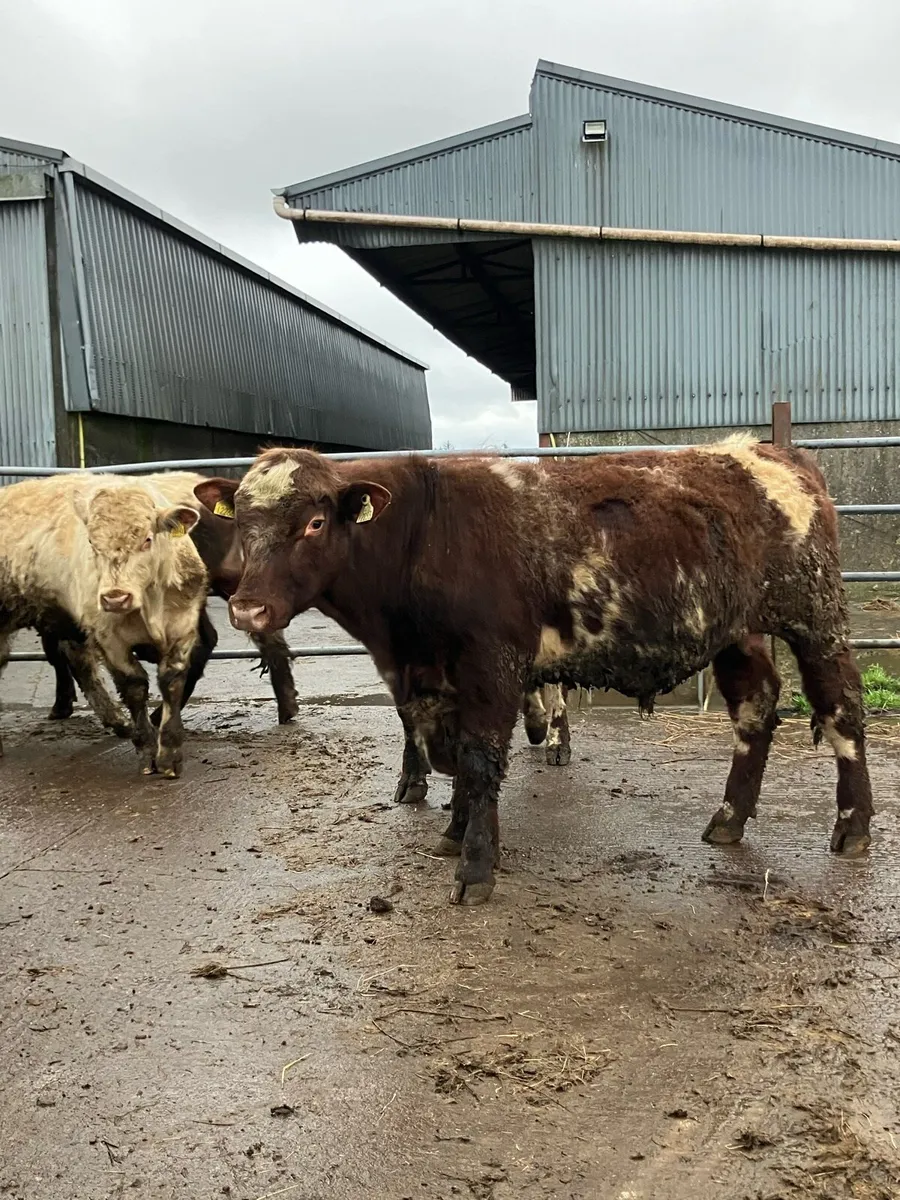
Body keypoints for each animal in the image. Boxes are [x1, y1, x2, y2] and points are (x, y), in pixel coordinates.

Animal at [0, 472, 208, 776]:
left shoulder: (183, 627)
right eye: (92, 543)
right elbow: (134, 686)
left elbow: (171, 682)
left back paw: (117, 722)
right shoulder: (108, 638)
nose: (115, 598)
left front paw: (169, 754)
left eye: (147, 540)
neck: (150, 604)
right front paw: (147, 750)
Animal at [193, 437, 873, 906]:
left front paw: (474, 868)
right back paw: (728, 820)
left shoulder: (491, 662)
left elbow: (480, 758)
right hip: (738, 631)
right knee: (755, 708)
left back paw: (853, 827)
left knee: (841, 709)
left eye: (313, 523)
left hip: (816, 617)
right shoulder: (432, 675)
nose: (248, 608)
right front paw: (454, 831)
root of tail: (766, 450)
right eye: (243, 524)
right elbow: (456, 759)